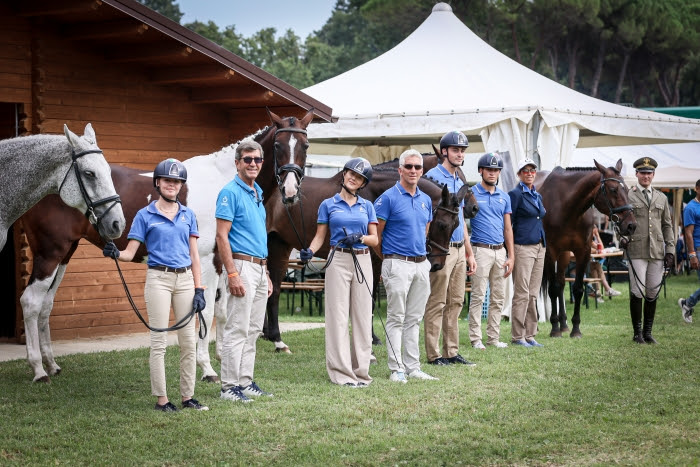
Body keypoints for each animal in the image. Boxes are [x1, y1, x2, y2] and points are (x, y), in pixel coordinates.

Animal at [16, 110, 314, 384]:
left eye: (305, 145)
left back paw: (52, 364)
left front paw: (221, 357)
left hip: (65, 254)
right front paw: (207, 369)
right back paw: (38, 370)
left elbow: (221, 311)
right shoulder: (206, 261)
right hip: (50, 253)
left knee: (46, 304)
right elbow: (205, 310)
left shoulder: (223, 260)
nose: (290, 191)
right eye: (278, 145)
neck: (221, 183)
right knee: (30, 302)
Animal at [262, 166, 482, 352]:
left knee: (272, 290)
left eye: (456, 226)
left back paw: (271, 336)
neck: (375, 193)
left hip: (280, 245)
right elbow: (369, 295)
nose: (437, 264)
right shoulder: (373, 258)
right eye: (443, 225)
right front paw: (371, 337)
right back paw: (275, 337)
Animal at [536, 159, 640, 338]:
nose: (631, 225)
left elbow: (577, 289)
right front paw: (554, 329)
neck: (567, 208)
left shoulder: (582, 252)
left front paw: (575, 329)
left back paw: (564, 324)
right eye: (613, 190)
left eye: (627, 189)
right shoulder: (550, 252)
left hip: (564, 255)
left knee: (561, 283)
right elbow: (552, 289)